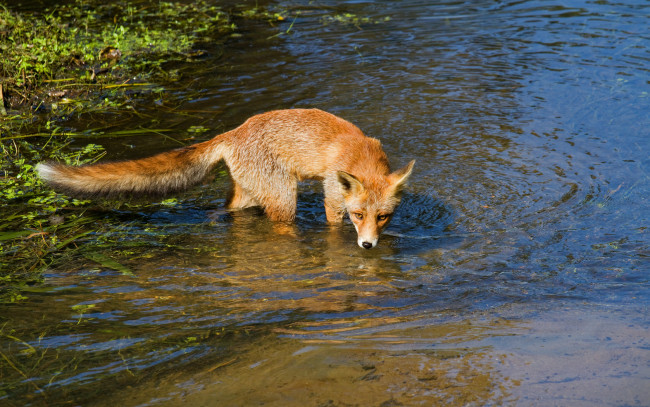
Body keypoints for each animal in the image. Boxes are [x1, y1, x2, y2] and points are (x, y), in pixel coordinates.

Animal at [38, 108, 416, 249]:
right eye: (358, 215)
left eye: (383, 216)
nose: (367, 246)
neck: (359, 156)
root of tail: (233, 132)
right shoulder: (332, 197)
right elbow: (334, 225)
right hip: (284, 199)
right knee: (280, 225)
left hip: (251, 193)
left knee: (227, 210)